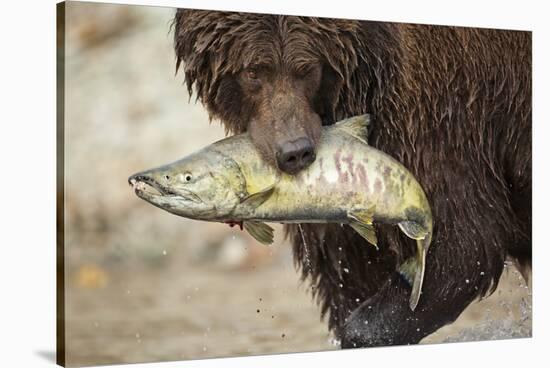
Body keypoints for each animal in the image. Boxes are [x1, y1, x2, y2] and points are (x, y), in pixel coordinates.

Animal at [171, 9, 532, 348]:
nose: (295, 151)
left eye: (307, 68)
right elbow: (347, 270)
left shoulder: (437, 120)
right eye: (253, 71)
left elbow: (463, 248)